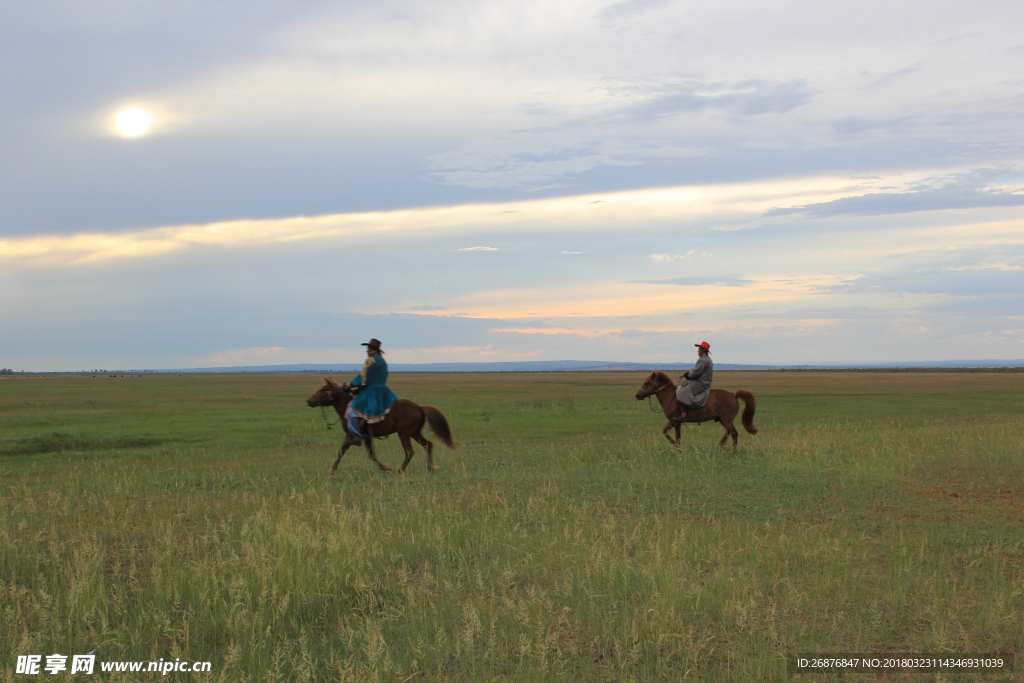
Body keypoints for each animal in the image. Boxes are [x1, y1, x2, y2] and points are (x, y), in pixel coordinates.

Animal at [303, 378, 456, 475]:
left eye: (323, 389)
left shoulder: (356, 436)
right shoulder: (361, 437)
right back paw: (430, 467)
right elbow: (350, 452)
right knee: (428, 445)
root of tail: (419, 407)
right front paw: (332, 470)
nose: (309, 401)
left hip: (404, 434)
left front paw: (386, 468)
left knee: (409, 451)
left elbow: (363, 454)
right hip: (414, 433)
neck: (347, 406)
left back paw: (400, 471)